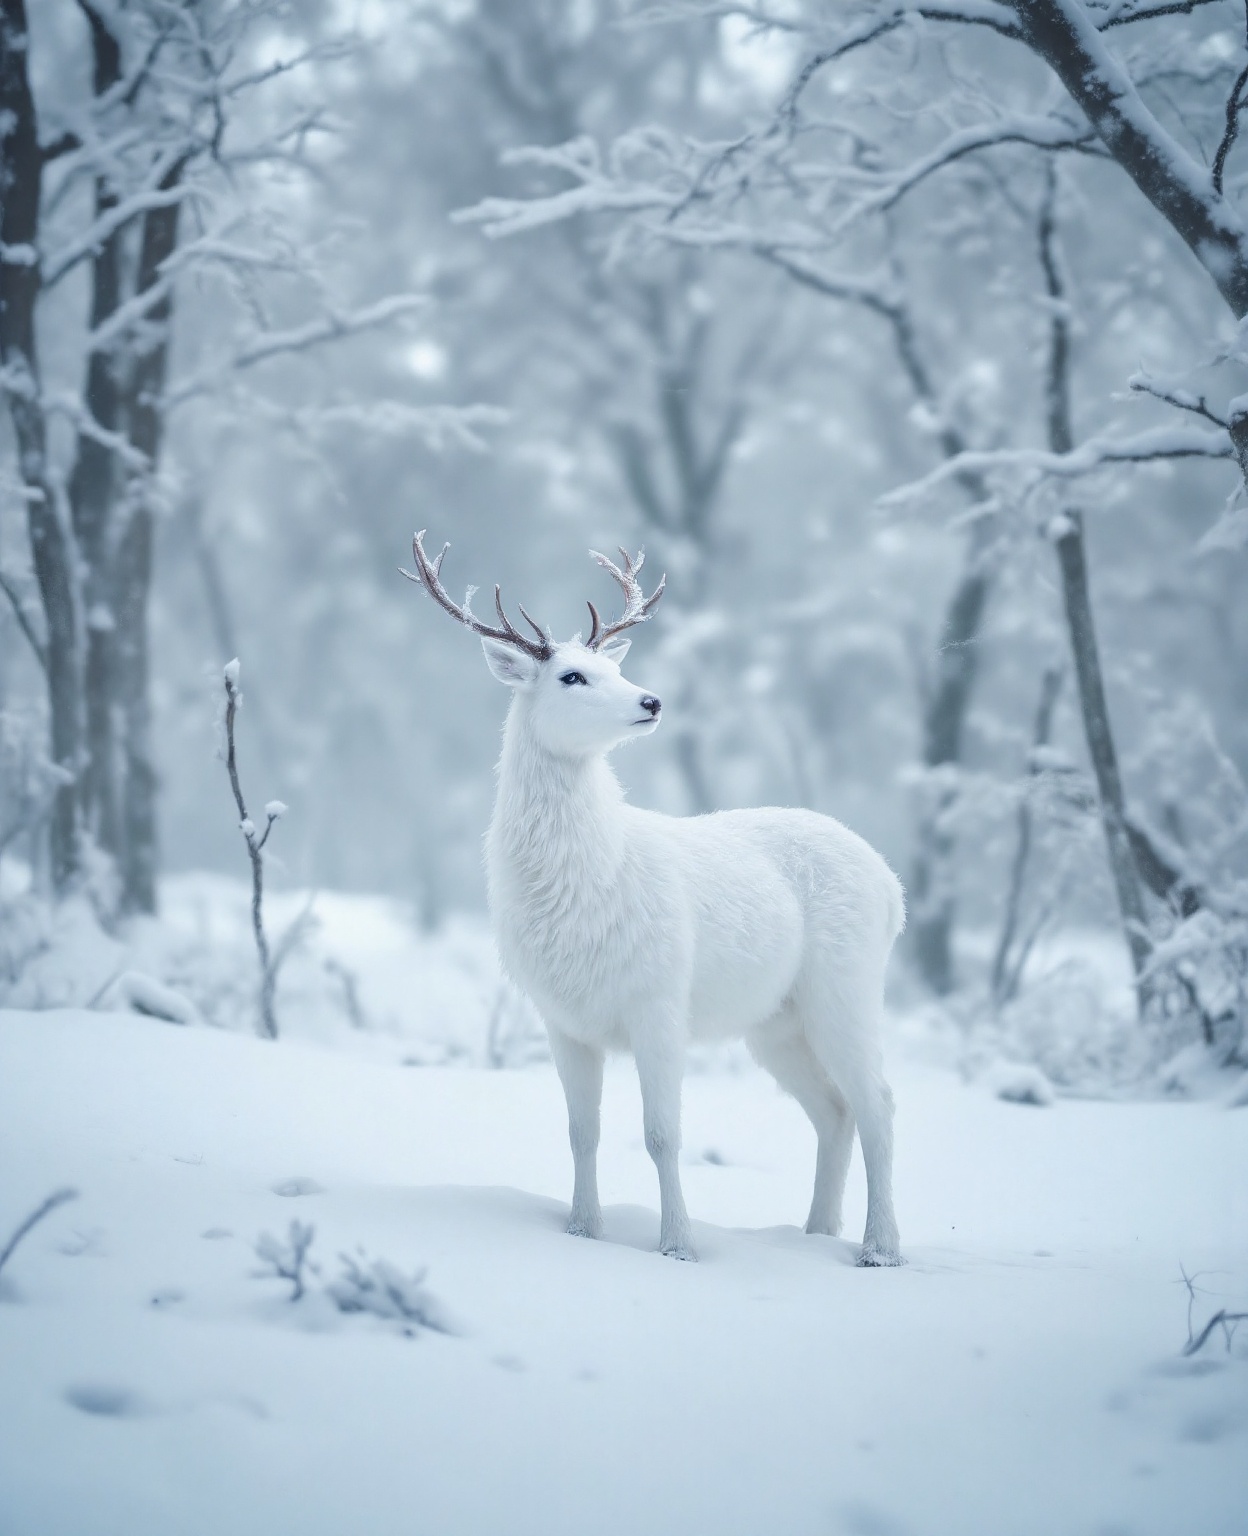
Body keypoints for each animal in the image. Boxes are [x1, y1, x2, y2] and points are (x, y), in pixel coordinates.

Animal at [402, 532, 906, 1266]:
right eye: (571, 677)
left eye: (609, 668)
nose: (651, 701)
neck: (589, 883)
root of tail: (895, 888)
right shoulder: (563, 1019)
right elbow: (581, 1131)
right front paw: (583, 1229)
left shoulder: (660, 1000)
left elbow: (662, 1134)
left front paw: (678, 1245)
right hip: (776, 1022)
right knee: (833, 1112)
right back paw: (815, 1232)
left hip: (845, 986)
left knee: (879, 1103)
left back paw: (880, 1247)